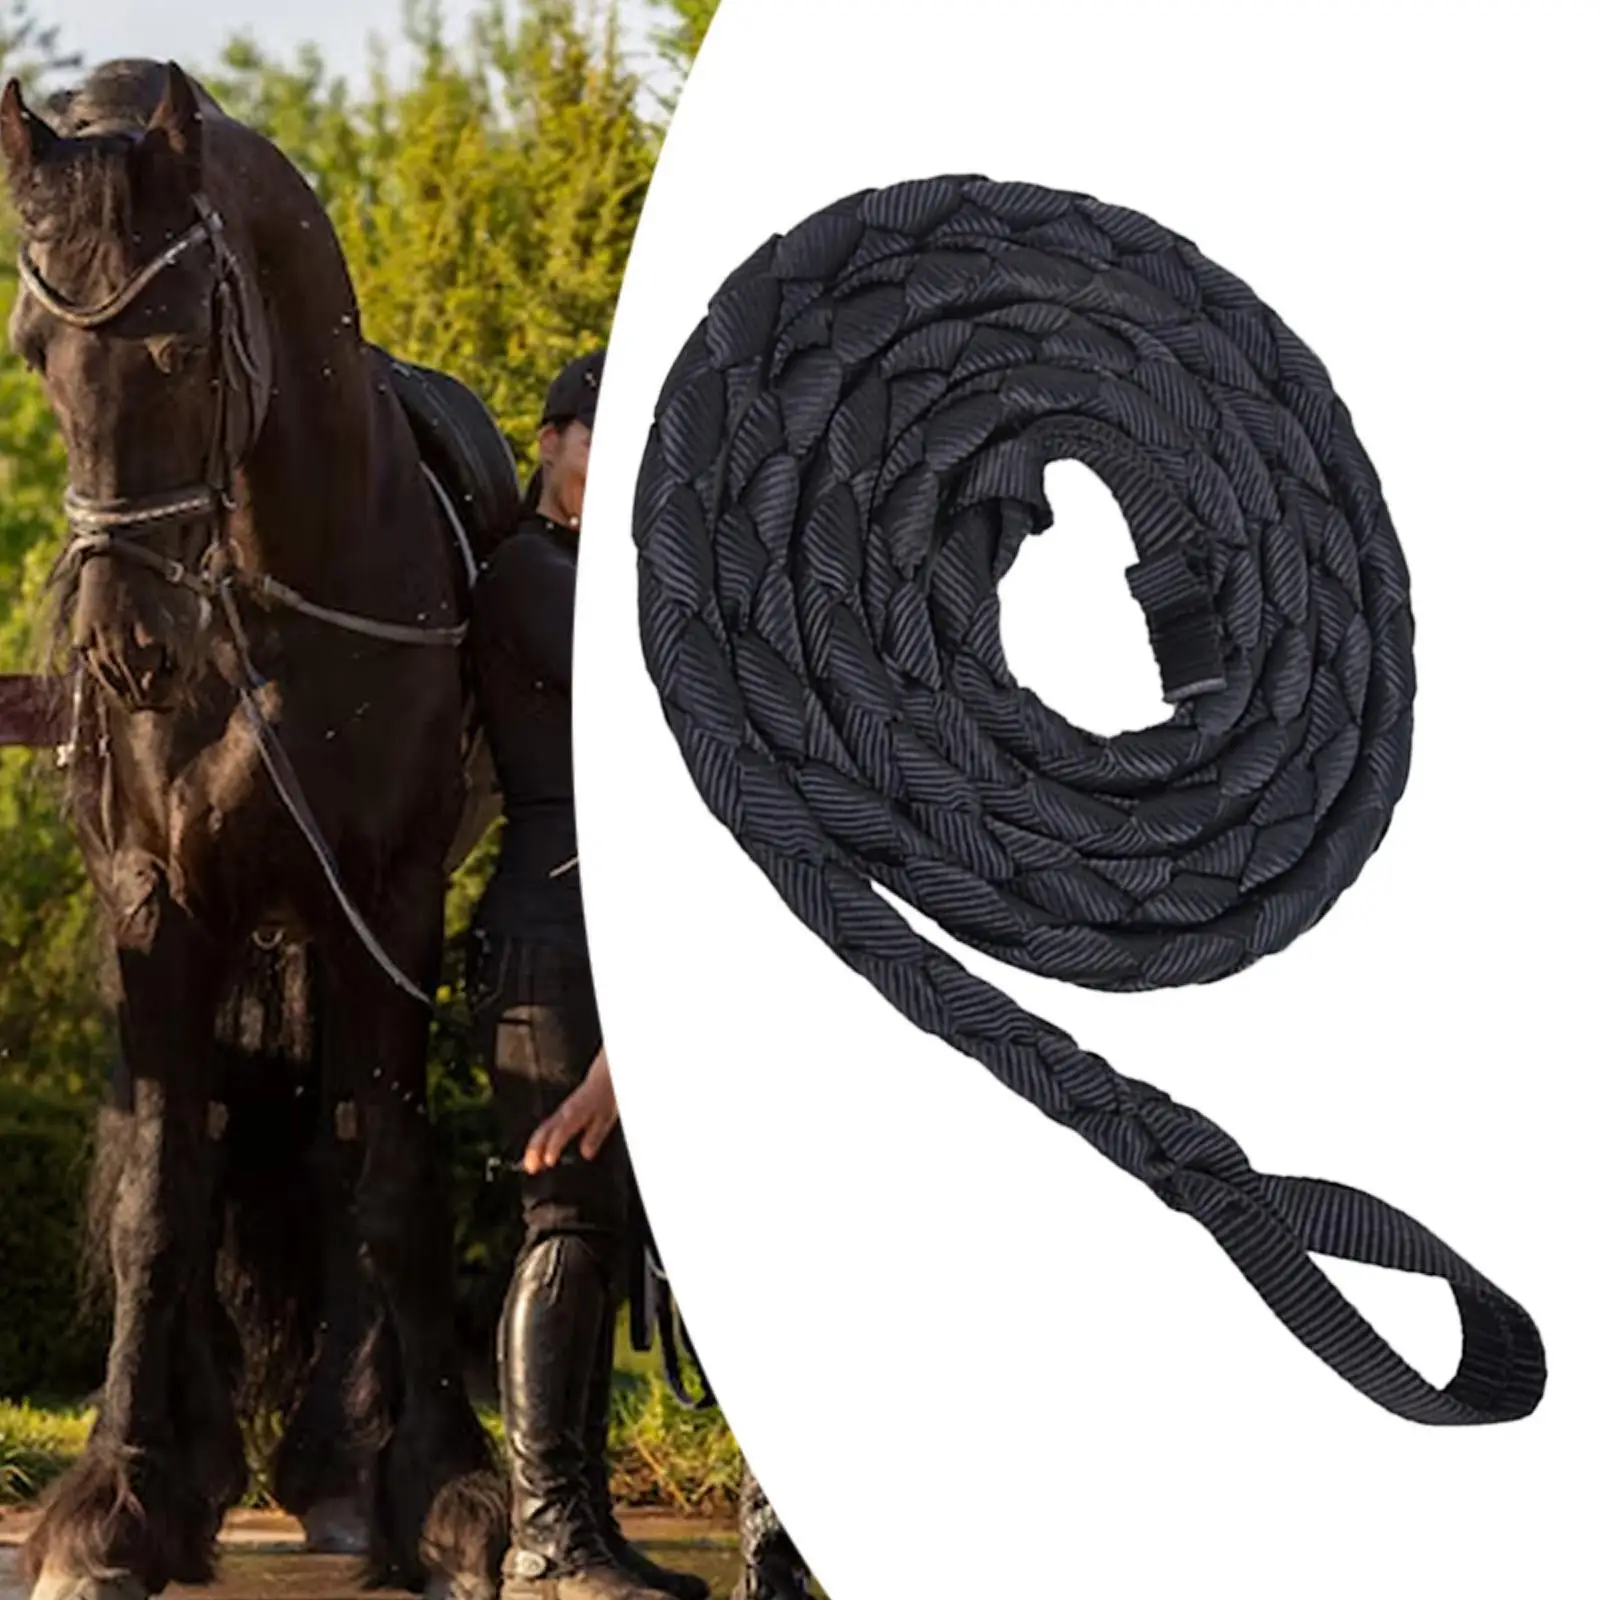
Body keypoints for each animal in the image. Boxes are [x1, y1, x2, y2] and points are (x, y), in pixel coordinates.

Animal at [1, 58, 509, 1600]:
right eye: (38, 357)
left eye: (177, 352)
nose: (125, 653)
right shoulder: (158, 901)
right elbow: (161, 1190)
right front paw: (118, 1499)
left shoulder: (386, 899)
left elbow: (387, 1176)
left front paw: (443, 1491)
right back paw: (212, 1461)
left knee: (340, 1154)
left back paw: (338, 1466)